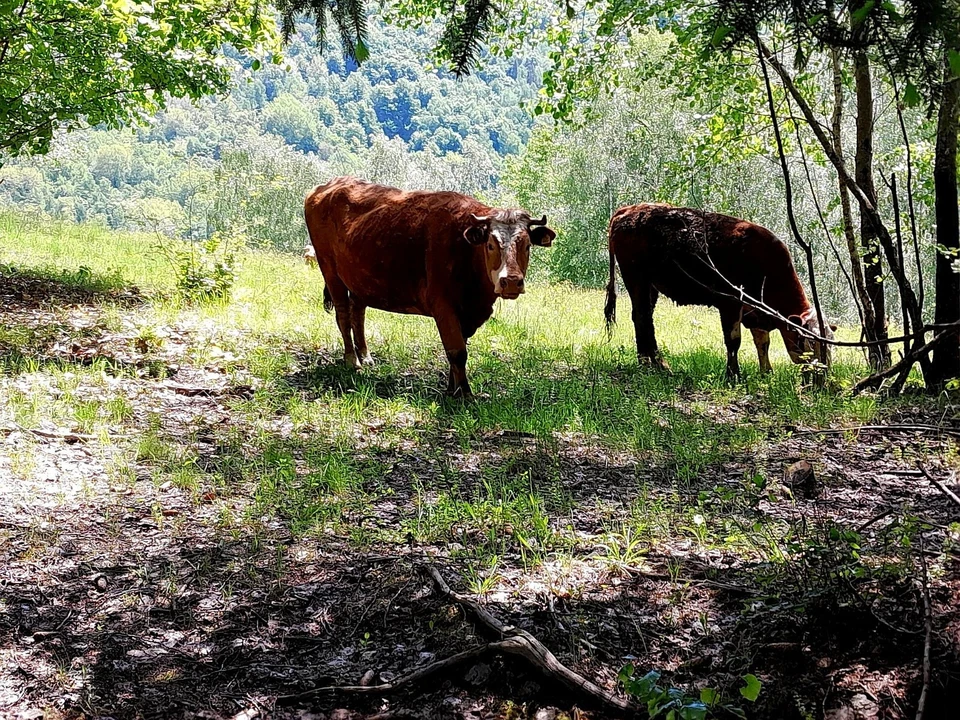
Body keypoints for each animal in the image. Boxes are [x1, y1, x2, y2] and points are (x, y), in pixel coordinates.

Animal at [304, 176, 556, 397]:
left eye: (526, 245)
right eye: (491, 245)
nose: (511, 281)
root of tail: (327, 186)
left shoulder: (465, 312)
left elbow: (458, 348)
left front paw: (451, 389)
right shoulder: (443, 304)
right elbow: (457, 351)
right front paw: (463, 394)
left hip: (359, 279)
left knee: (358, 313)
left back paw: (365, 356)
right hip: (330, 270)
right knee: (343, 315)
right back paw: (351, 360)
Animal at [604, 203, 834, 379]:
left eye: (831, 344)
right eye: (811, 341)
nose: (825, 375)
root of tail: (630, 209)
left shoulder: (755, 313)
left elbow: (763, 343)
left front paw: (766, 373)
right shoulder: (730, 303)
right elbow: (734, 341)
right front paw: (733, 375)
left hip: (651, 285)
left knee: (643, 318)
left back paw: (652, 362)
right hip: (637, 279)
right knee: (642, 317)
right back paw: (652, 363)